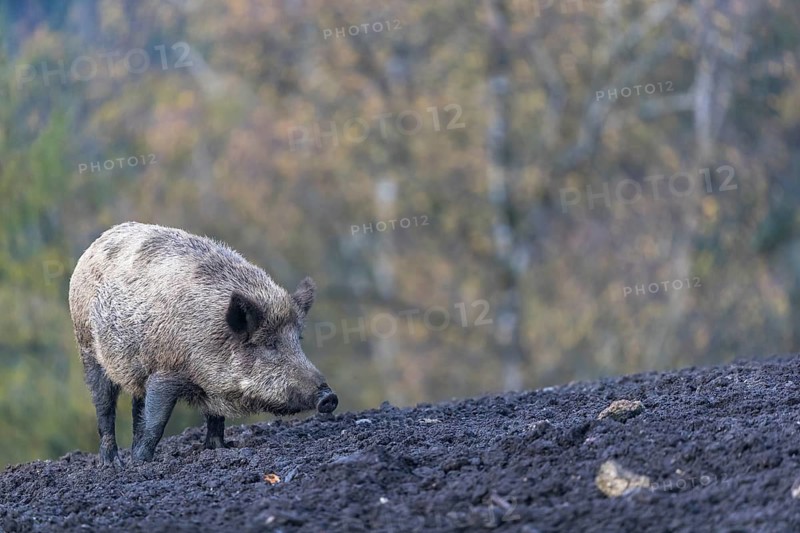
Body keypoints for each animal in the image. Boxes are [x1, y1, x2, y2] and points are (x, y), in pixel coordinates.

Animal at [68, 222, 338, 464]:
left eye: (297, 339)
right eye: (270, 343)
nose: (329, 396)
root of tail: (92, 248)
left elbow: (215, 418)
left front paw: (219, 450)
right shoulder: (166, 371)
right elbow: (157, 422)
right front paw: (141, 463)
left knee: (137, 405)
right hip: (87, 346)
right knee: (104, 405)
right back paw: (112, 464)